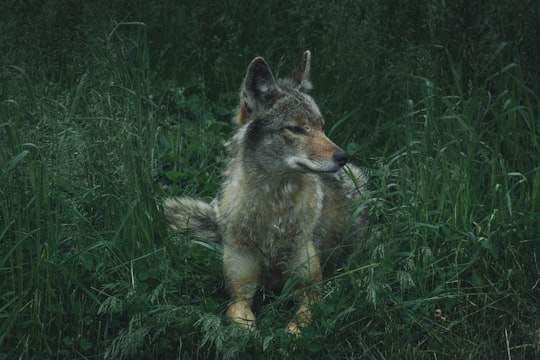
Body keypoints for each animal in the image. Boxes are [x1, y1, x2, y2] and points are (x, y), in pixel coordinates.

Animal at [163, 50, 368, 334]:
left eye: (322, 126)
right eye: (296, 129)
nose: (343, 157)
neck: (274, 211)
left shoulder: (312, 292)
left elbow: (295, 329)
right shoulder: (239, 294)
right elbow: (244, 325)